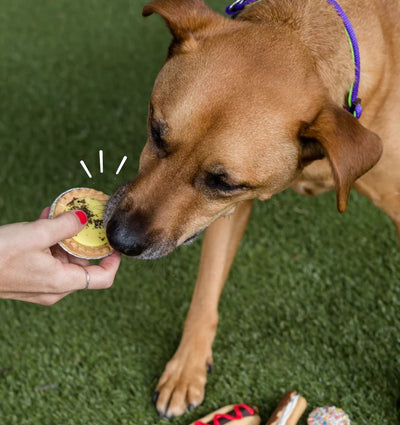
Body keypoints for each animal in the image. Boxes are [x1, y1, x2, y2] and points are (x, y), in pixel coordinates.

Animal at [104, 0, 400, 418]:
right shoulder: (226, 213)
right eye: (156, 131)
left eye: (223, 182)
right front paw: (187, 367)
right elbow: (207, 284)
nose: (119, 238)